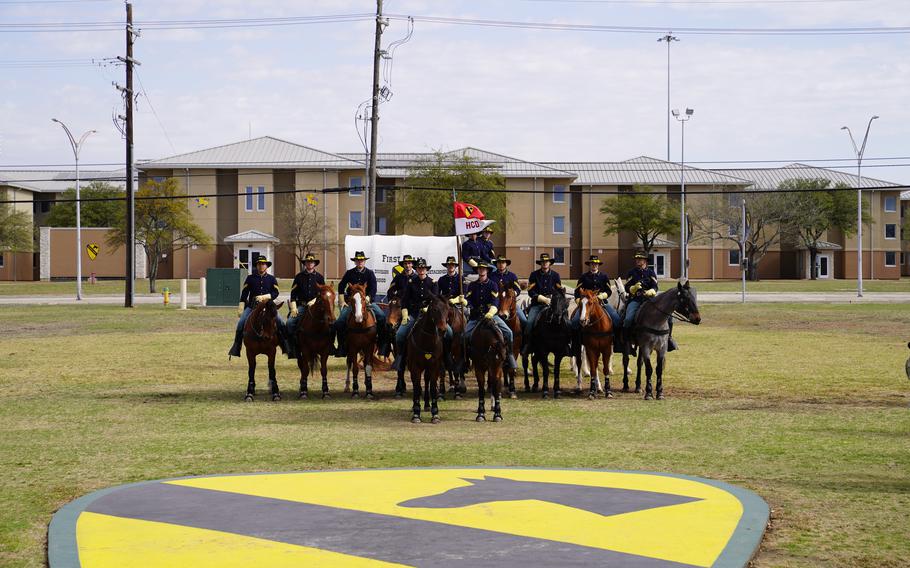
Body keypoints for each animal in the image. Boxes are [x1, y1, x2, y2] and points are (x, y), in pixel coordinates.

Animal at [408, 292, 450, 422]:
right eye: (435, 309)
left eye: (447, 309)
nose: (442, 329)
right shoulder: (415, 367)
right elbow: (417, 387)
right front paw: (416, 414)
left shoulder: (434, 366)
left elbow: (432, 388)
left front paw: (435, 413)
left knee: (426, 381)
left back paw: (427, 404)